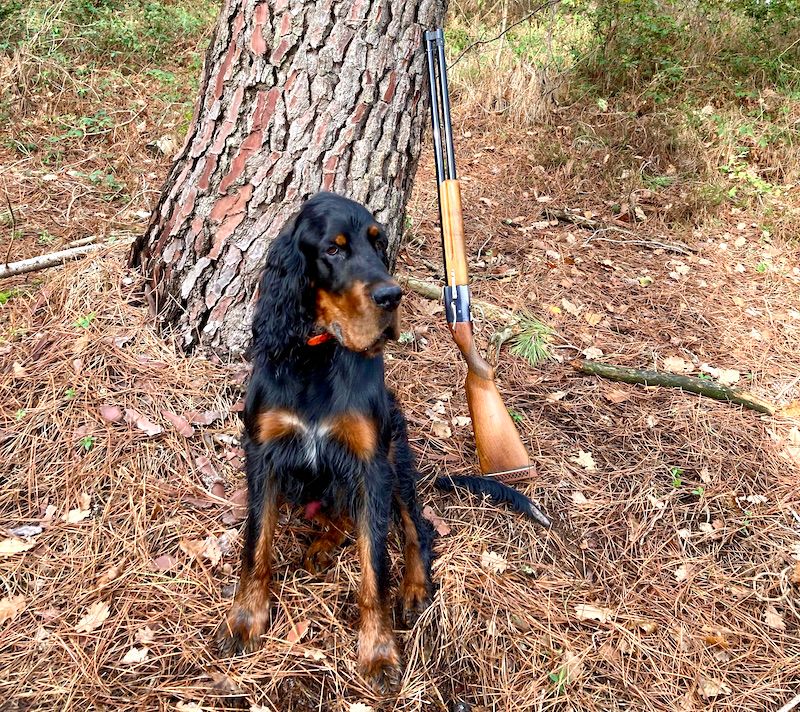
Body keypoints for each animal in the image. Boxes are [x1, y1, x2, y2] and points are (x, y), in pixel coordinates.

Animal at [216, 192, 548, 692]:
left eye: (379, 243)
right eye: (332, 250)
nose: (392, 296)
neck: (319, 356)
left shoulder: (371, 463)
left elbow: (374, 567)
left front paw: (378, 652)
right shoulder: (263, 452)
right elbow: (257, 543)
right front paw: (246, 619)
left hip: (398, 459)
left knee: (416, 529)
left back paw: (413, 589)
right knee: (340, 515)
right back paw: (322, 545)